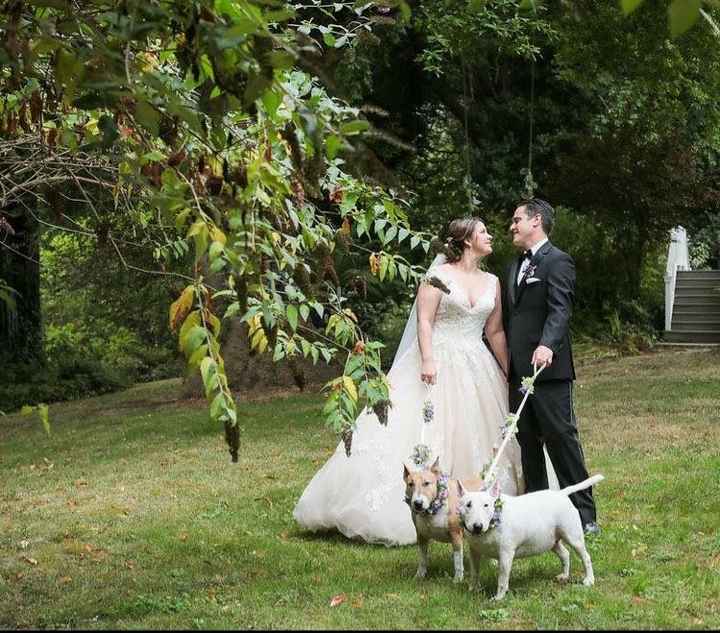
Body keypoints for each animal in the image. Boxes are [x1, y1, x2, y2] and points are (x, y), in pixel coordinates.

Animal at [404, 454, 484, 584]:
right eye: (410, 484)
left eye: (426, 483)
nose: (417, 504)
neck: (431, 511)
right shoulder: (421, 535)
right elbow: (422, 557)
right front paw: (419, 576)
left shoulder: (456, 534)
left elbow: (457, 559)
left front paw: (457, 579)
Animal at [458, 472, 604, 600]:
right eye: (468, 504)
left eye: (486, 505)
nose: (477, 526)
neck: (490, 526)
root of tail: (561, 493)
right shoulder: (474, 551)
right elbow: (474, 572)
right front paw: (472, 589)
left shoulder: (506, 553)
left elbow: (502, 578)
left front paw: (498, 598)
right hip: (550, 540)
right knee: (565, 554)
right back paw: (564, 576)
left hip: (572, 536)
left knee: (586, 557)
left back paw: (589, 580)